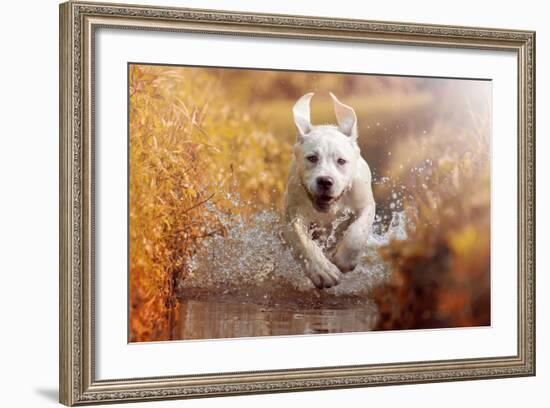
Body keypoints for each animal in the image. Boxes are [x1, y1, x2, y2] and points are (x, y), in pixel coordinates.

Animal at [282, 93, 378, 288]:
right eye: (312, 158)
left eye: (341, 161)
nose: (325, 181)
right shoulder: (292, 218)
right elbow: (303, 242)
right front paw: (323, 271)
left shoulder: (366, 205)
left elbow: (357, 233)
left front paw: (344, 259)